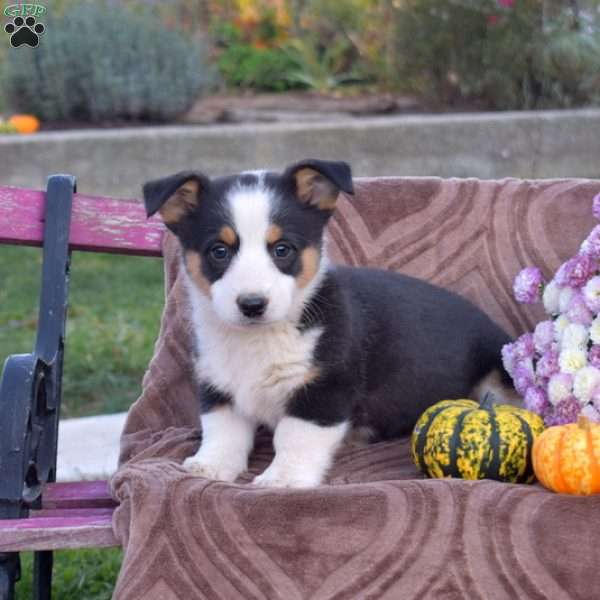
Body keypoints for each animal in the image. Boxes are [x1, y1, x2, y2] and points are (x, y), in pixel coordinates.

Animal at [143, 159, 512, 488]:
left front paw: (282, 479)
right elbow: (222, 431)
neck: (259, 339)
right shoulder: (218, 385)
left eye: (282, 249)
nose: (252, 305)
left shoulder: (323, 389)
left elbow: (294, 437)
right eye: (219, 251)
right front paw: (209, 466)